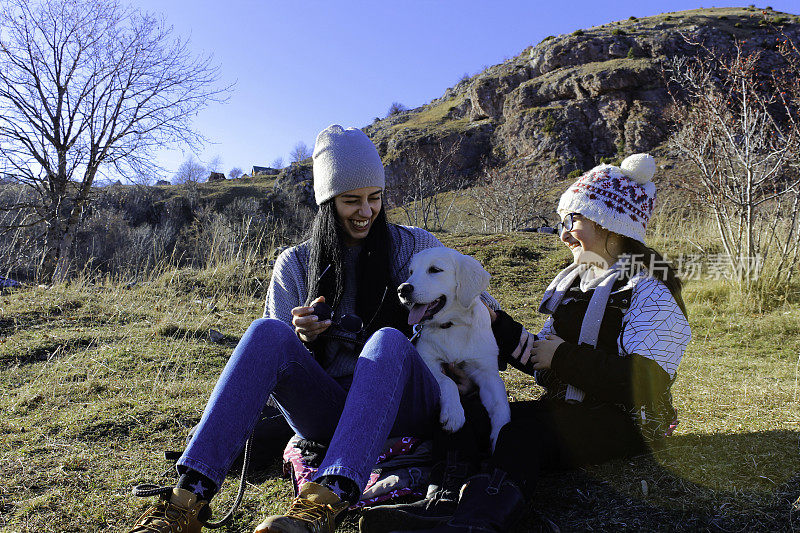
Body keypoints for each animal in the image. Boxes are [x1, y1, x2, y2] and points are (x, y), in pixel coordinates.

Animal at [400, 247, 512, 446]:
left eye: (435, 270)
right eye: (411, 272)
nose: (402, 289)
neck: (452, 325)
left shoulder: (486, 371)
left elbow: (501, 406)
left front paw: (500, 436)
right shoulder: (427, 361)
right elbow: (448, 381)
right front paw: (453, 414)